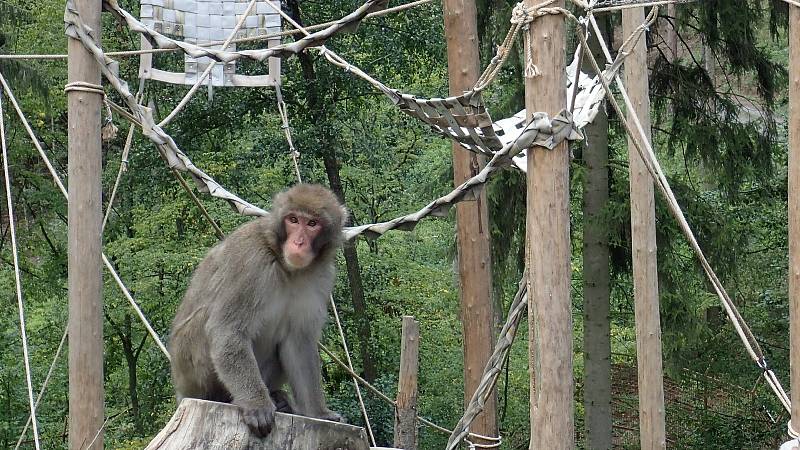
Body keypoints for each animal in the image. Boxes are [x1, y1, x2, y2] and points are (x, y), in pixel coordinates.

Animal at [170, 182, 348, 436]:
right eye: (293, 220)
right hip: (189, 368)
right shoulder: (250, 262)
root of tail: (182, 393)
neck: (286, 266)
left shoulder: (321, 277)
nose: (299, 242)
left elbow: (299, 343)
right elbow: (228, 331)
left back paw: (279, 399)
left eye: (312, 224)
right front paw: (257, 405)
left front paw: (319, 413)